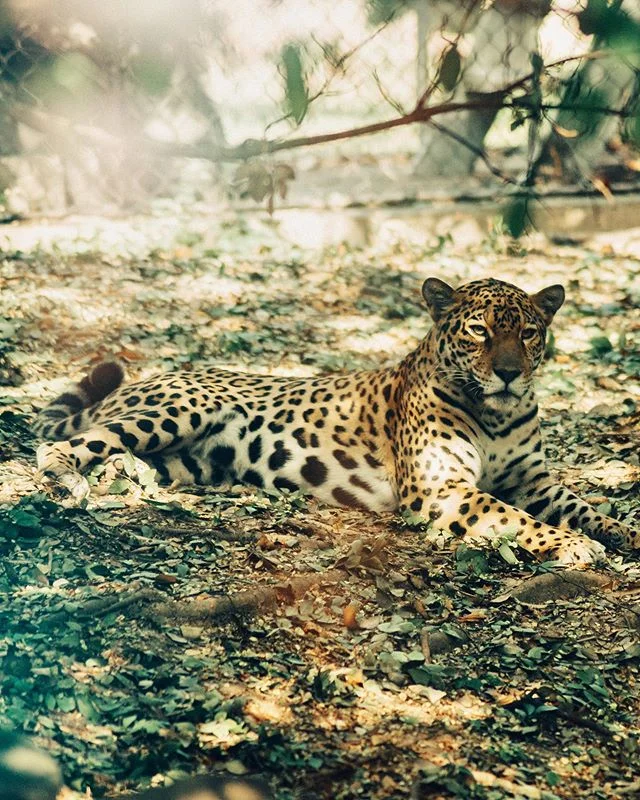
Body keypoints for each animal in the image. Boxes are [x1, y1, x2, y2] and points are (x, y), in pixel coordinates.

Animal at [36, 278, 640, 564]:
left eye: (529, 332)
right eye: (479, 331)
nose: (511, 373)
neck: (499, 412)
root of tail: (138, 382)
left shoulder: (533, 481)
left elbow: (585, 508)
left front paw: (619, 534)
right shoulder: (441, 488)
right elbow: (513, 517)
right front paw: (573, 546)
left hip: (188, 460)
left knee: (123, 457)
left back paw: (123, 479)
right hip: (177, 410)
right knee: (69, 444)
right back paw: (66, 481)